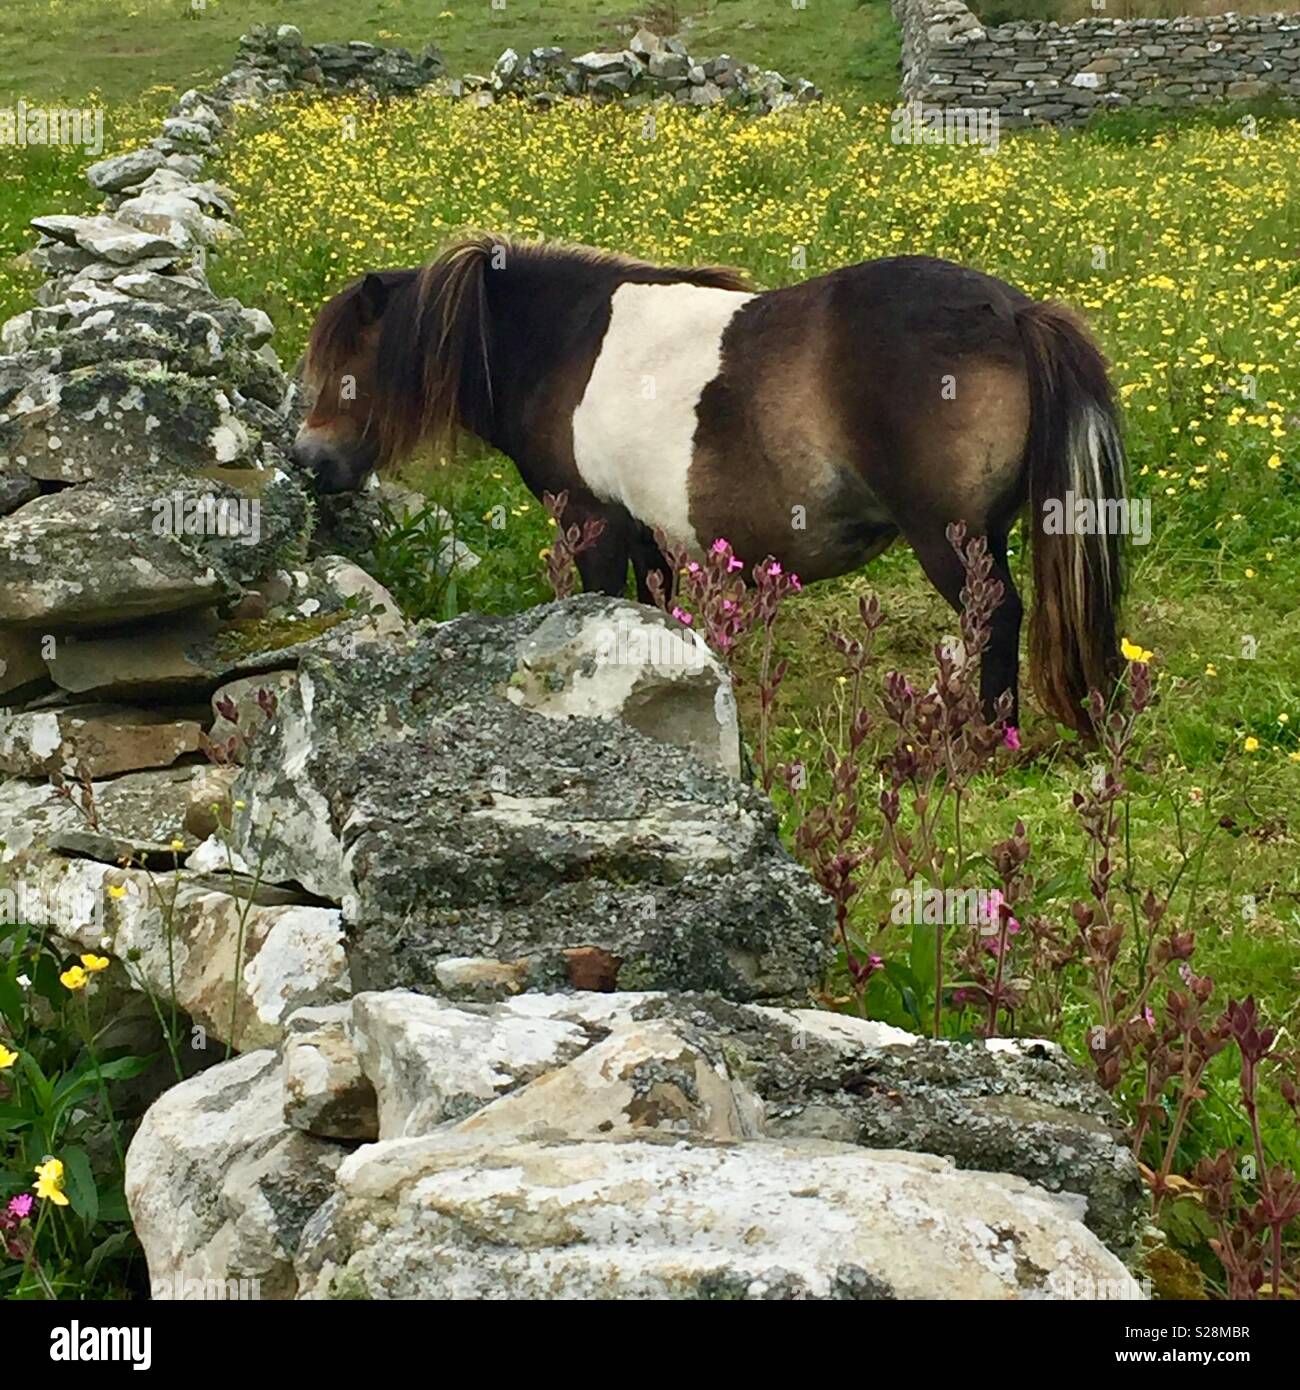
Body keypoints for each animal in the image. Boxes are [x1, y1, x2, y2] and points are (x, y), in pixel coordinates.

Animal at [294, 232, 1126, 732]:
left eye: (349, 369)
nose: (309, 463)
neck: (562, 346)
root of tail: (1014, 312)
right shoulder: (647, 533)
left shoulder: (593, 522)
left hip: (951, 539)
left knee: (998, 619)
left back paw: (987, 735)